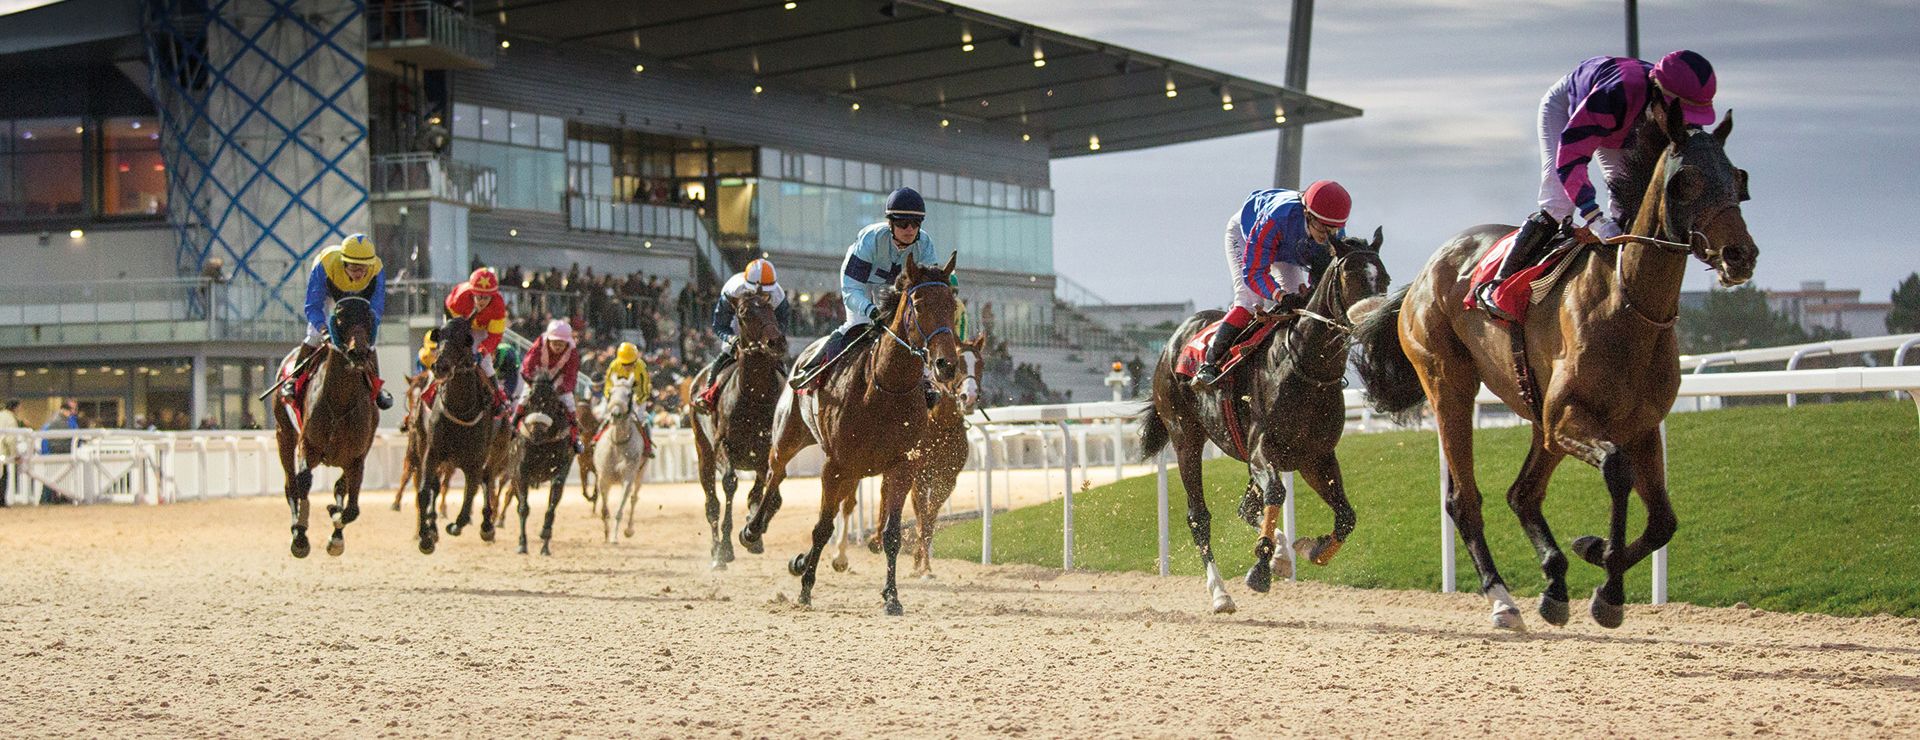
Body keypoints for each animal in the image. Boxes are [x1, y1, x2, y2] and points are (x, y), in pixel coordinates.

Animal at [274, 296, 382, 557]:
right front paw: (300, 536)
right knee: (290, 484)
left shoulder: (356, 458)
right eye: (341, 318)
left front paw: (336, 527)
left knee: (340, 488)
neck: (340, 404)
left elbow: (351, 507)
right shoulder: (308, 446)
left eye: (369, 318)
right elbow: (302, 482)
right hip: (284, 434)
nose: (358, 352)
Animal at [691, 284, 787, 568]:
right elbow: (730, 484)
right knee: (712, 502)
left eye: (770, 308)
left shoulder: (768, 451)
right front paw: (725, 547)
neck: (755, 396)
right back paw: (716, 552)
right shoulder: (725, 445)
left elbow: (769, 493)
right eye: (743, 313)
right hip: (704, 451)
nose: (776, 342)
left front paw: (754, 530)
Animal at [744, 251, 967, 611]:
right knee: (775, 473)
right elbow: (822, 527)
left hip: (856, 468)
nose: (946, 364)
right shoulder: (834, 465)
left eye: (952, 304)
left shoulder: (901, 466)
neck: (885, 388)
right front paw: (805, 589)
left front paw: (892, 596)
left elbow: (891, 534)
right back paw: (752, 530)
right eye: (918, 305)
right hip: (790, 434)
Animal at [1136, 233, 1397, 615]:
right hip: (1185, 437)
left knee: (1247, 507)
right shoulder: (1264, 448)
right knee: (1199, 517)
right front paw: (1260, 567)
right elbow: (1276, 493)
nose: (1375, 323)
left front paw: (1311, 549)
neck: (1304, 369)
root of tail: (1174, 341)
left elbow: (1346, 516)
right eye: (1351, 278)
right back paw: (1221, 593)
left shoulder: (1315, 458)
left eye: (1385, 279)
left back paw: (1282, 556)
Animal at [1351, 103, 1758, 630]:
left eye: (1738, 178)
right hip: (1449, 383)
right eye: (1685, 181)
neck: (1626, 305)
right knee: (1465, 499)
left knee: (1522, 493)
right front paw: (1608, 588)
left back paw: (1555, 582)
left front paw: (1594, 553)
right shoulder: (1569, 417)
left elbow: (1664, 522)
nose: (1740, 255)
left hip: (1537, 415)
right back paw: (1502, 598)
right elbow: (1617, 471)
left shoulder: (1641, 425)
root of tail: (1422, 275)